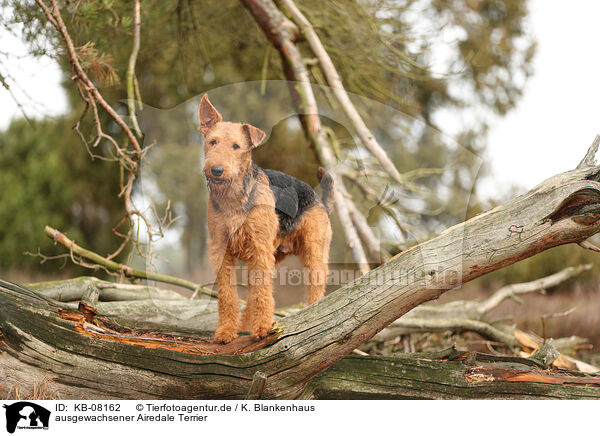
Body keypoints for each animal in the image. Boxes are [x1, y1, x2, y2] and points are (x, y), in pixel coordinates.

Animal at [200, 95, 332, 344]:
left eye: (236, 146)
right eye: (212, 142)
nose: (217, 170)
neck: (234, 199)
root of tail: (320, 199)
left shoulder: (259, 248)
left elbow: (262, 293)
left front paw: (262, 329)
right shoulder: (222, 250)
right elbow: (228, 295)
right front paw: (225, 332)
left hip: (313, 253)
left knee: (315, 290)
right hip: (274, 254)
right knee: (255, 293)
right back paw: (244, 325)